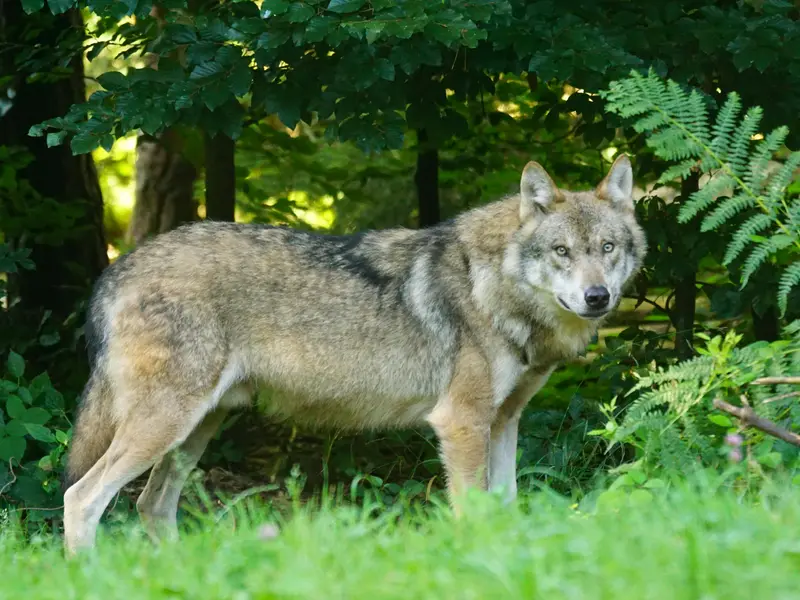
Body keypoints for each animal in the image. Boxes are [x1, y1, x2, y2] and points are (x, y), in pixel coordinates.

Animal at [65, 154, 648, 552]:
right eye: (561, 252)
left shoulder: (504, 421)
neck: (492, 286)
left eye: (607, 249)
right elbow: (474, 513)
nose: (598, 297)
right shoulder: (461, 423)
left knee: (151, 505)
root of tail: (118, 267)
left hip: (194, 431)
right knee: (81, 499)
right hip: (166, 425)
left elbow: (505, 509)